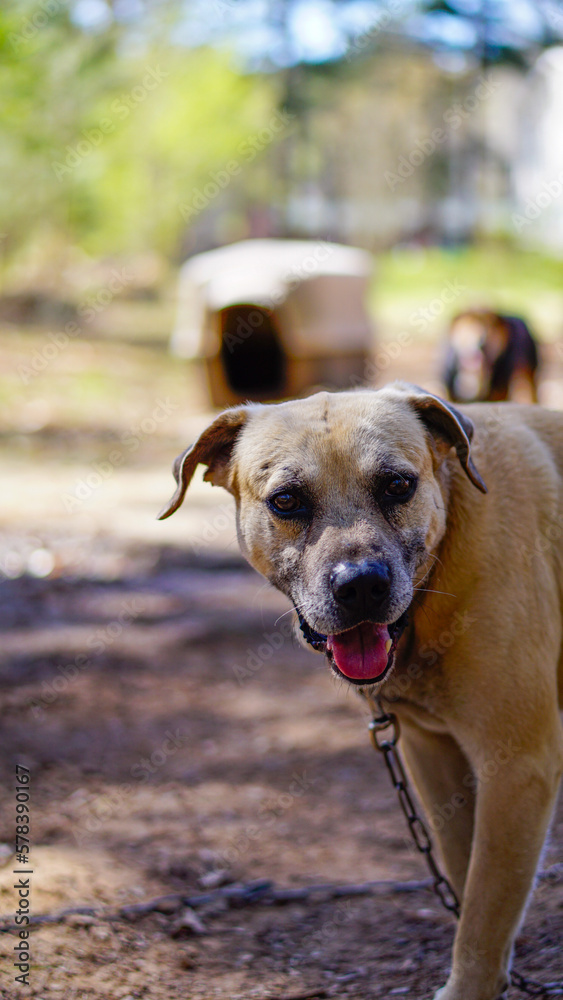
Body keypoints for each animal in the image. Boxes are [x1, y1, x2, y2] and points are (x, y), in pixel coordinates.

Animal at [159, 384, 563, 1000]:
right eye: (286, 500)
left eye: (397, 485)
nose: (361, 586)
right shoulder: (433, 754)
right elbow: (468, 879)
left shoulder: (518, 766)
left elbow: (484, 912)